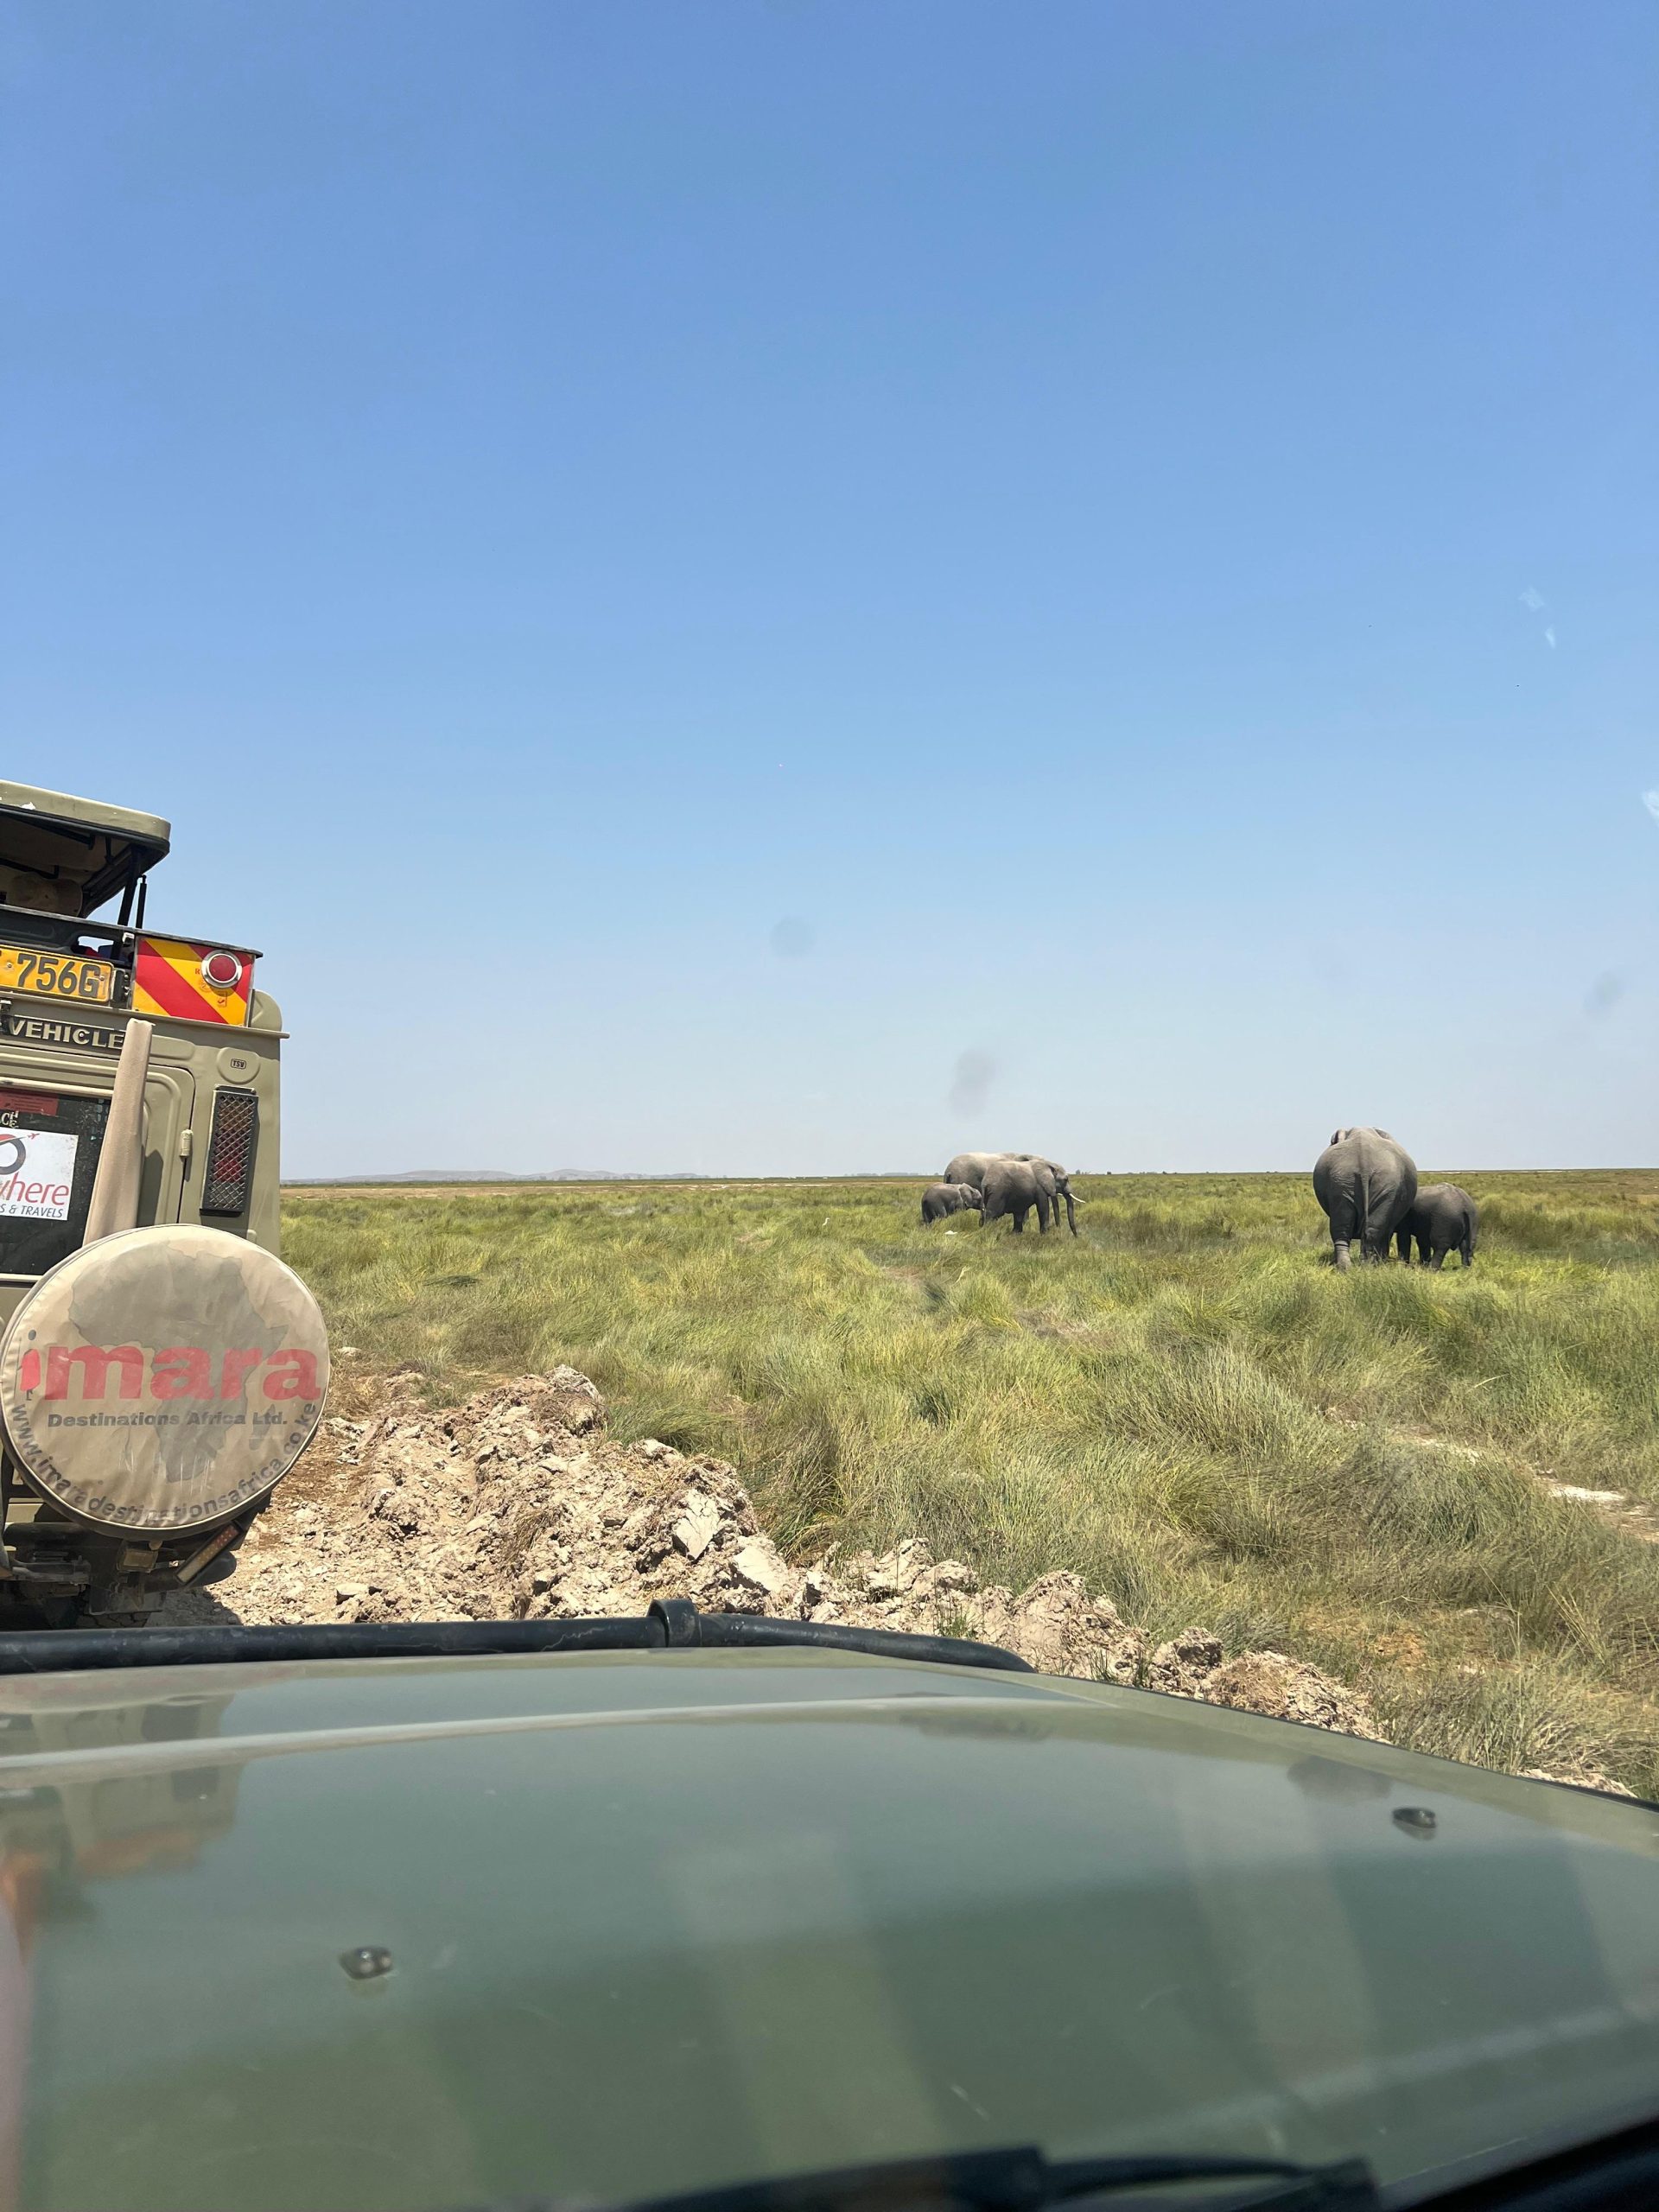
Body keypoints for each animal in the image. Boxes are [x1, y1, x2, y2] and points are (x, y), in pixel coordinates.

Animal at [1312, 1127, 1417, 1271]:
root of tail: (1364, 1160)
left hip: (1343, 1181)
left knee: (1345, 1229)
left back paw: (1349, 1267)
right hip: (1365, 1181)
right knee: (1368, 1230)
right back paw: (1366, 1266)